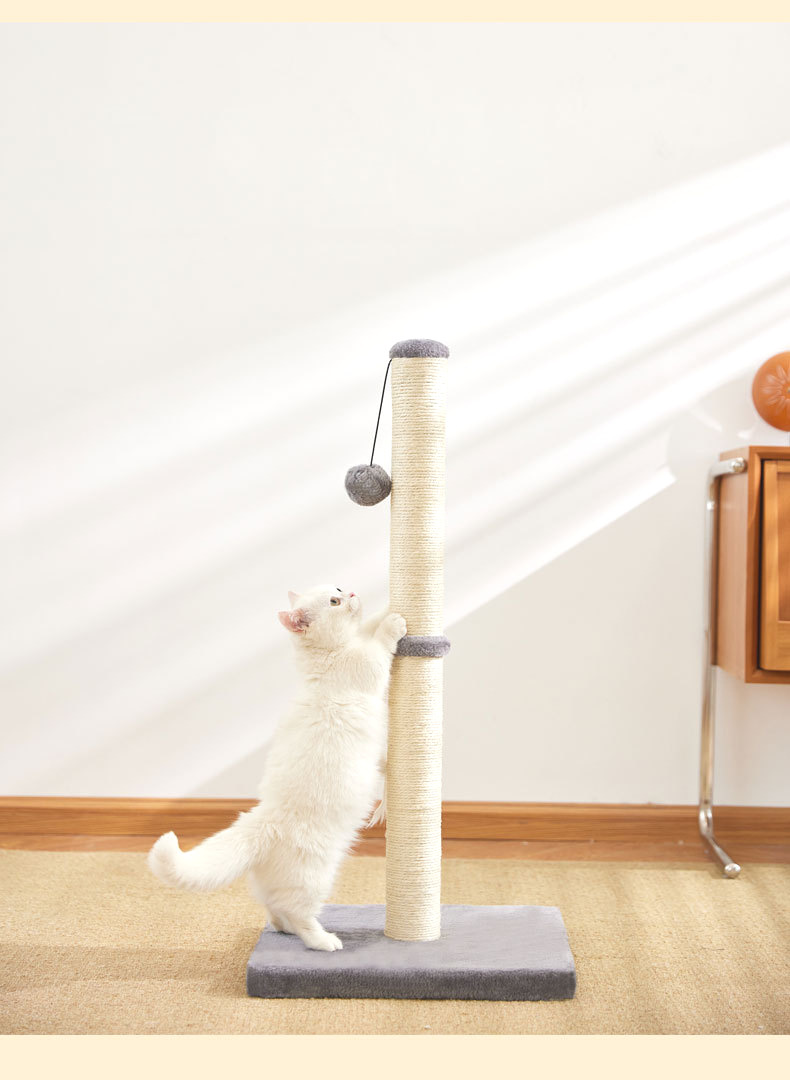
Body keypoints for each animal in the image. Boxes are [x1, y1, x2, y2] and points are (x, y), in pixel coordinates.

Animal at [147, 584, 405, 952]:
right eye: (334, 601)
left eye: (338, 588)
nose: (352, 592)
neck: (327, 656)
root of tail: (264, 820)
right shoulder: (366, 666)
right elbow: (379, 645)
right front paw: (394, 623)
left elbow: (369, 625)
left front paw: (384, 610)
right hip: (314, 877)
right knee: (299, 913)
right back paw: (323, 941)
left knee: (273, 906)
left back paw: (283, 929)